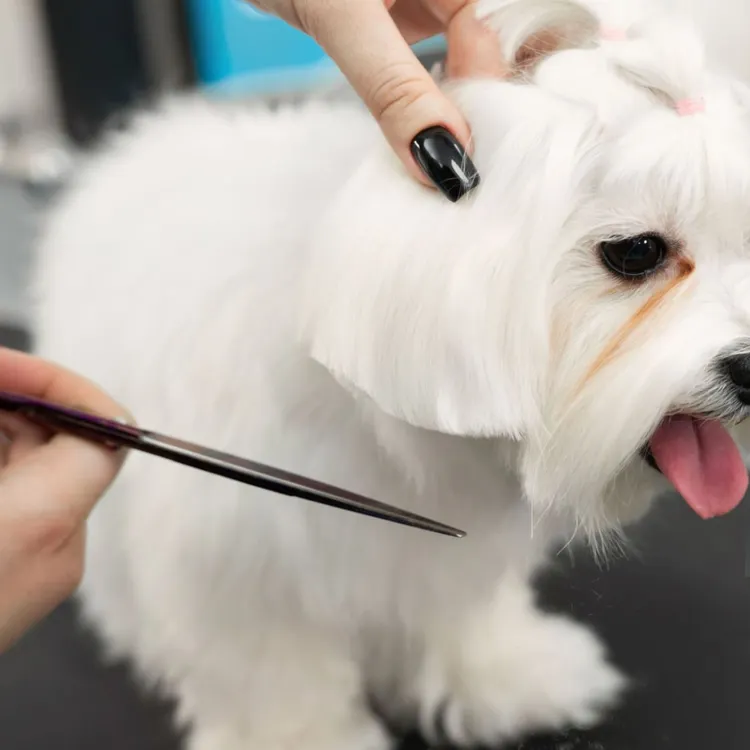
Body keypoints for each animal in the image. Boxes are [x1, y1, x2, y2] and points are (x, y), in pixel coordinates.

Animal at [30, 1, 750, 750]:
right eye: (636, 252)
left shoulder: (449, 551)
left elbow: (459, 609)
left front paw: (504, 675)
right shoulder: (238, 560)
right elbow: (270, 667)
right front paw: (303, 737)